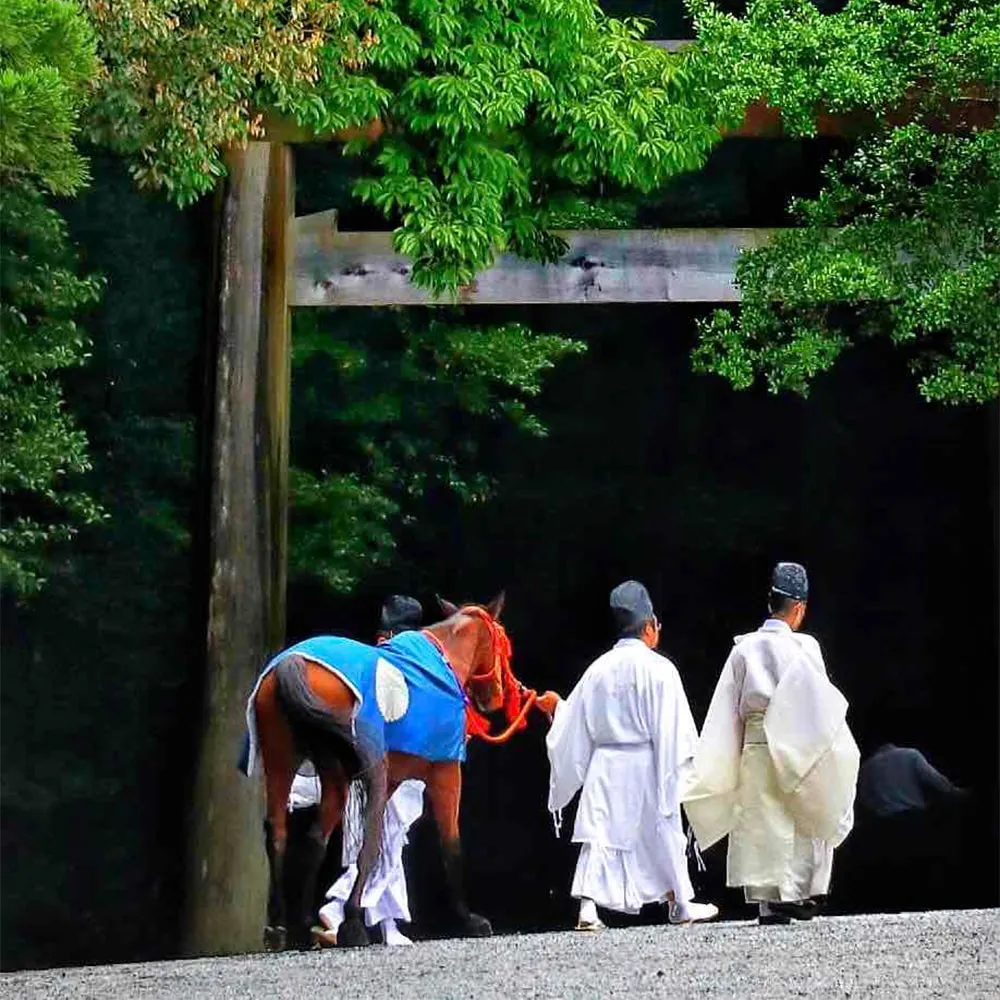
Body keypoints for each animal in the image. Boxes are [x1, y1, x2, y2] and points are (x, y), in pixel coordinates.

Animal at [250, 592, 520, 952]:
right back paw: (347, 924)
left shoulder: (391, 779)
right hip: (347, 767)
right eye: (501, 642)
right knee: (348, 834)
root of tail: (292, 663)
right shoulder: (446, 773)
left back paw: (289, 926)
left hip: (283, 760)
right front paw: (469, 919)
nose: (495, 697)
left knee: (289, 833)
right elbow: (449, 843)